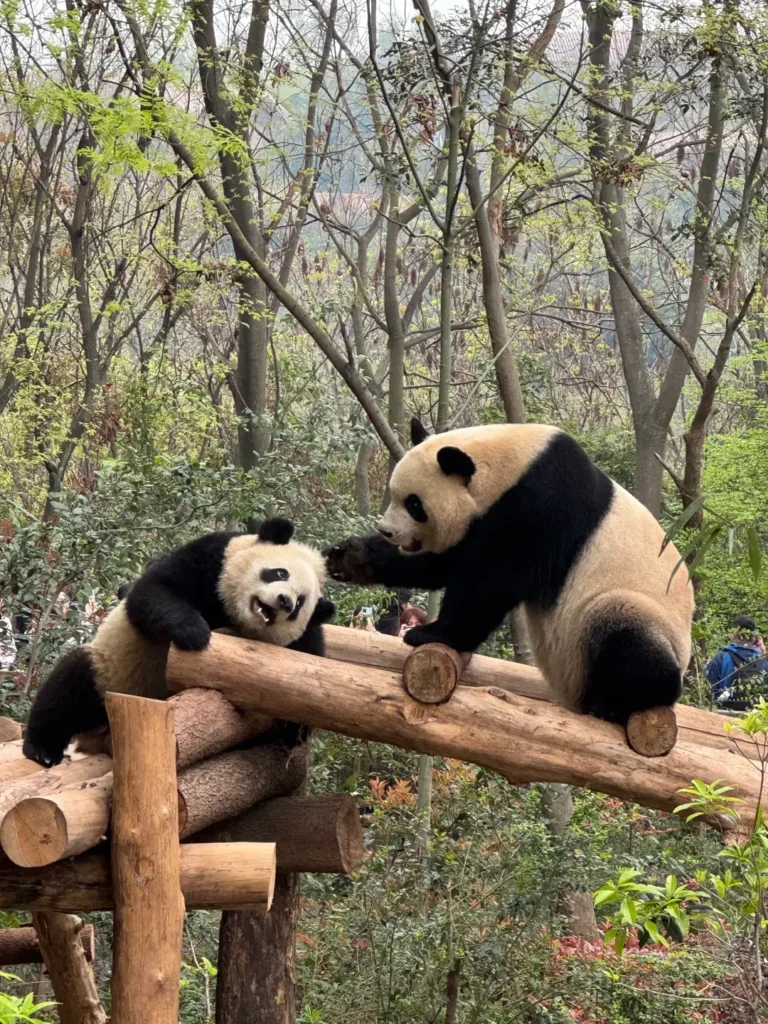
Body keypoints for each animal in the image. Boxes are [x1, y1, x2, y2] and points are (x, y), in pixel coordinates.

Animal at [23, 517, 334, 767]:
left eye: (300, 604)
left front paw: (295, 729)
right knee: (69, 688)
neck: (230, 614)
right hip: (110, 673)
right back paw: (42, 749)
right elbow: (154, 590)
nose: (285, 601)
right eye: (280, 572)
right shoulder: (212, 559)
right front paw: (194, 632)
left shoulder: (306, 636)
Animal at [325, 420, 694, 724]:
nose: (387, 531)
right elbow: (444, 562)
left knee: (622, 626)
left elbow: (487, 582)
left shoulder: (538, 508)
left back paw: (620, 703)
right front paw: (347, 557)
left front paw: (431, 633)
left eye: (414, 504)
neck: (511, 464)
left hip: (639, 618)